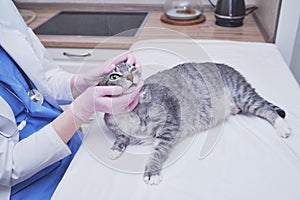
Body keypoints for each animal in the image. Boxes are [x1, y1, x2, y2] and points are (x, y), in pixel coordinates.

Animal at [91, 61, 290, 185]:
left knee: (268, 110)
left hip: (244, 95)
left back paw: (283, 127)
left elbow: (158, 150)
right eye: (114, 76)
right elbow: (121, 137)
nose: (131, 78)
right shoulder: (117, 127)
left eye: (132, 69)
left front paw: (152, 171)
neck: (128, 110)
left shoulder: (170, 122)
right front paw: (115, 150)